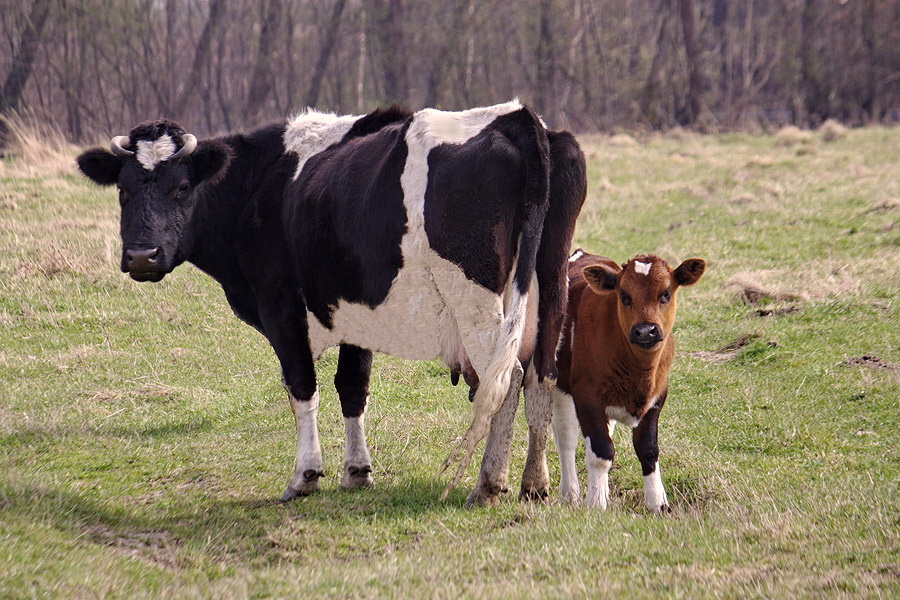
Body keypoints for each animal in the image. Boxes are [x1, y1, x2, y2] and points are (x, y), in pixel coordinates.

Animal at [77, 101, 592, 504]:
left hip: (477, 301)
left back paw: (488, 483)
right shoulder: (354, 311)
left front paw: (305, 476)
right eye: (123, 190)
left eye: (183, 187)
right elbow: (352, 388)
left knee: (508, 377)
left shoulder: (281, 307)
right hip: (548, 288)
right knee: (541, 375)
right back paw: (533, 482)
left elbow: (303, 386)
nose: (142, 256)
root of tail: (517, 118)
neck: (261, 183)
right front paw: (357, 471)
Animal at [548, 248, 712, 510]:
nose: (645, 331)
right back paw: (570, 493)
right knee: (566, 437)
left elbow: (648, 450)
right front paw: (596, 504)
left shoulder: (657, 397)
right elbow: (601, 451)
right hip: (557, 383)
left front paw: (658, 503)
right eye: (624, 296)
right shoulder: (587, 396)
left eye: (665, 293)